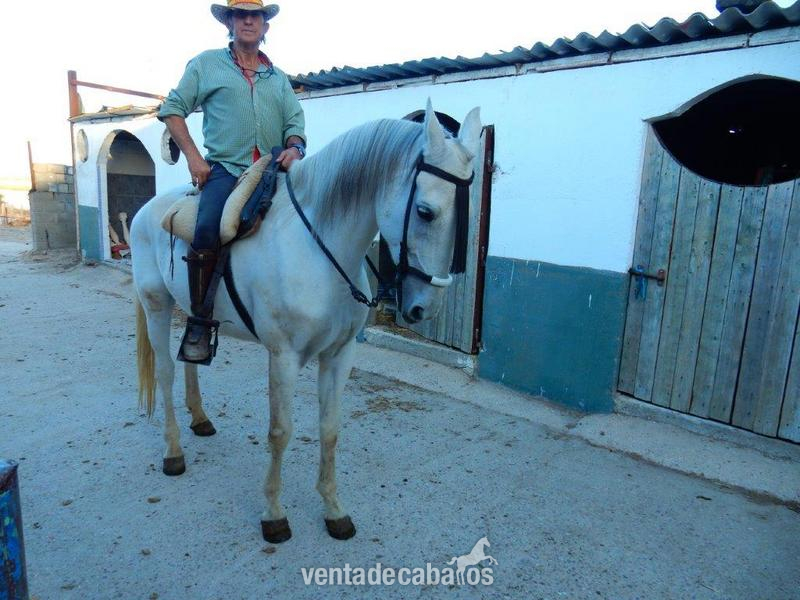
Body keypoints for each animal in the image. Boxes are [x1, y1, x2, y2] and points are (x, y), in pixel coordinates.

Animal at [131, 101, 482, 542]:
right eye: (425, 212)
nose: (424, 309)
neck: (319, 246)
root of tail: (147, 210)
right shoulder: (283, 357)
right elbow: (280, 432)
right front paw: (274, 515)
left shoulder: (339, 356)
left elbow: (330, 429)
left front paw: (334, 511)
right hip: (156, 306)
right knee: (165, 372)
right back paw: (173, 453)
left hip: (192, 311)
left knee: (189, 360)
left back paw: (201, 420)